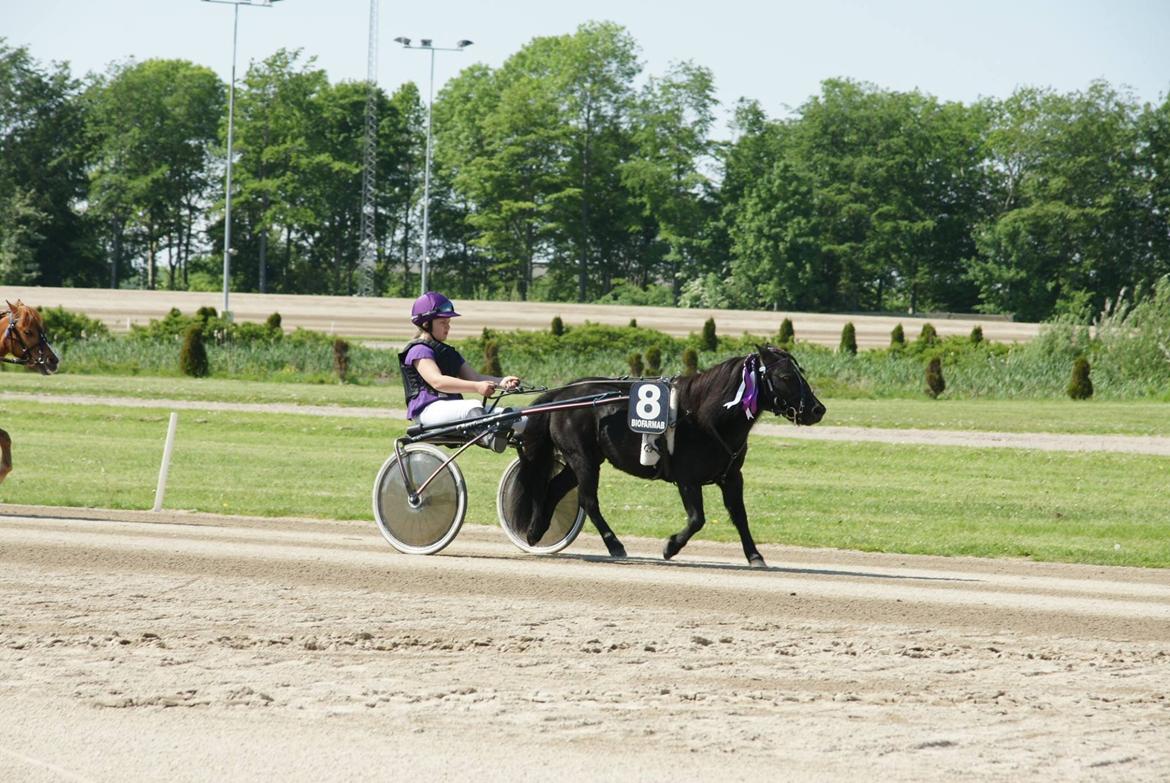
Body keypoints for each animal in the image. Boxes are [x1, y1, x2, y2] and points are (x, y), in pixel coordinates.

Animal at [510, 344, 823, 564]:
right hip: (582, 458)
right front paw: (670, 547)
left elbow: (740, 516)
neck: (703, 417)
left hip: (586, 460)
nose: (818, 409)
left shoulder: (732, 476)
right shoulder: (687, 479)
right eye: (785, 376)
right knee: (588, 501)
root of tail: (562, 395)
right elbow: (697, 519)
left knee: (554, 488)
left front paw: (755, 556)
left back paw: (535, 531)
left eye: (801, 373)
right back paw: (615, 545)